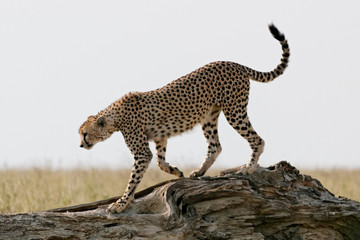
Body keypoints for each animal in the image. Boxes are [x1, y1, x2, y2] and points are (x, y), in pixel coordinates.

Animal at [79, 23, 290, 213]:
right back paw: (200, 171)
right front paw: (175, 171)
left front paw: (121, 203)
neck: (114, 118)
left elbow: (134, 177)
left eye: (84, 134)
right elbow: (160, 161)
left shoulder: (141, 152)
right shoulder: (160, 137)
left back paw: (249, 168)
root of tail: (234, 63)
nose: (81, 145)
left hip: (234, 111)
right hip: (209, 116)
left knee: (256, 139)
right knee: (215, 146)